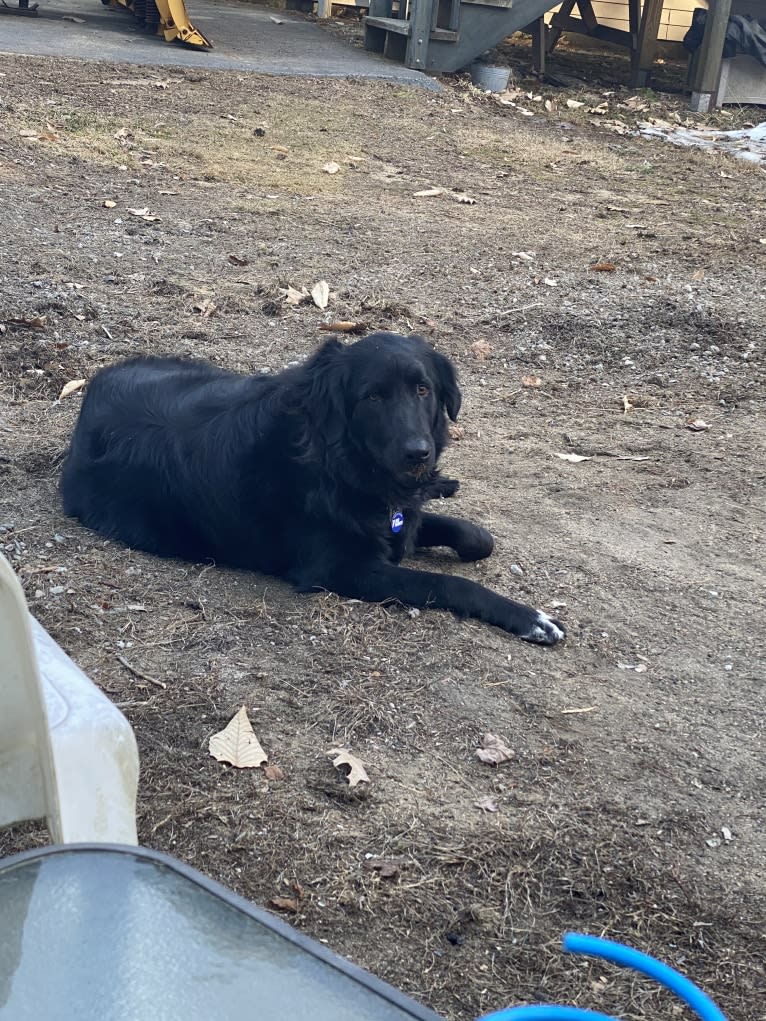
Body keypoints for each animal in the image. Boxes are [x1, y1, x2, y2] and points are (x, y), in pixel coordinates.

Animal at [63, 330, 567, 641]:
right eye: (372, 397)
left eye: (423, 390)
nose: (418, 453)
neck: (338, 463)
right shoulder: (340, 569)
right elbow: (447, 583)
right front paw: (530, 618)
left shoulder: (396, 519)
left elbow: (473, 535)